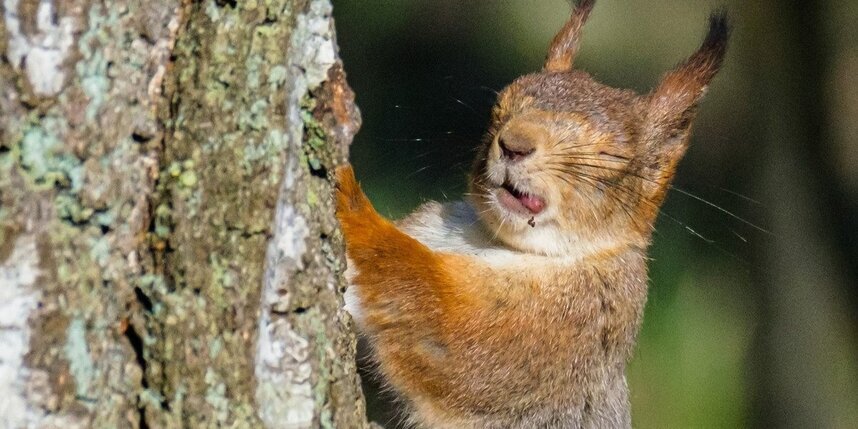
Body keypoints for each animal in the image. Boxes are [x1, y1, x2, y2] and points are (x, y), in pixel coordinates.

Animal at [334, 1, 728, 426]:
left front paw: (348, 195)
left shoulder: (564, 324)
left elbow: (441, 318)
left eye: (611, 157)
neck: (493, 238)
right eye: (499, 108)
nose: (513, 144)